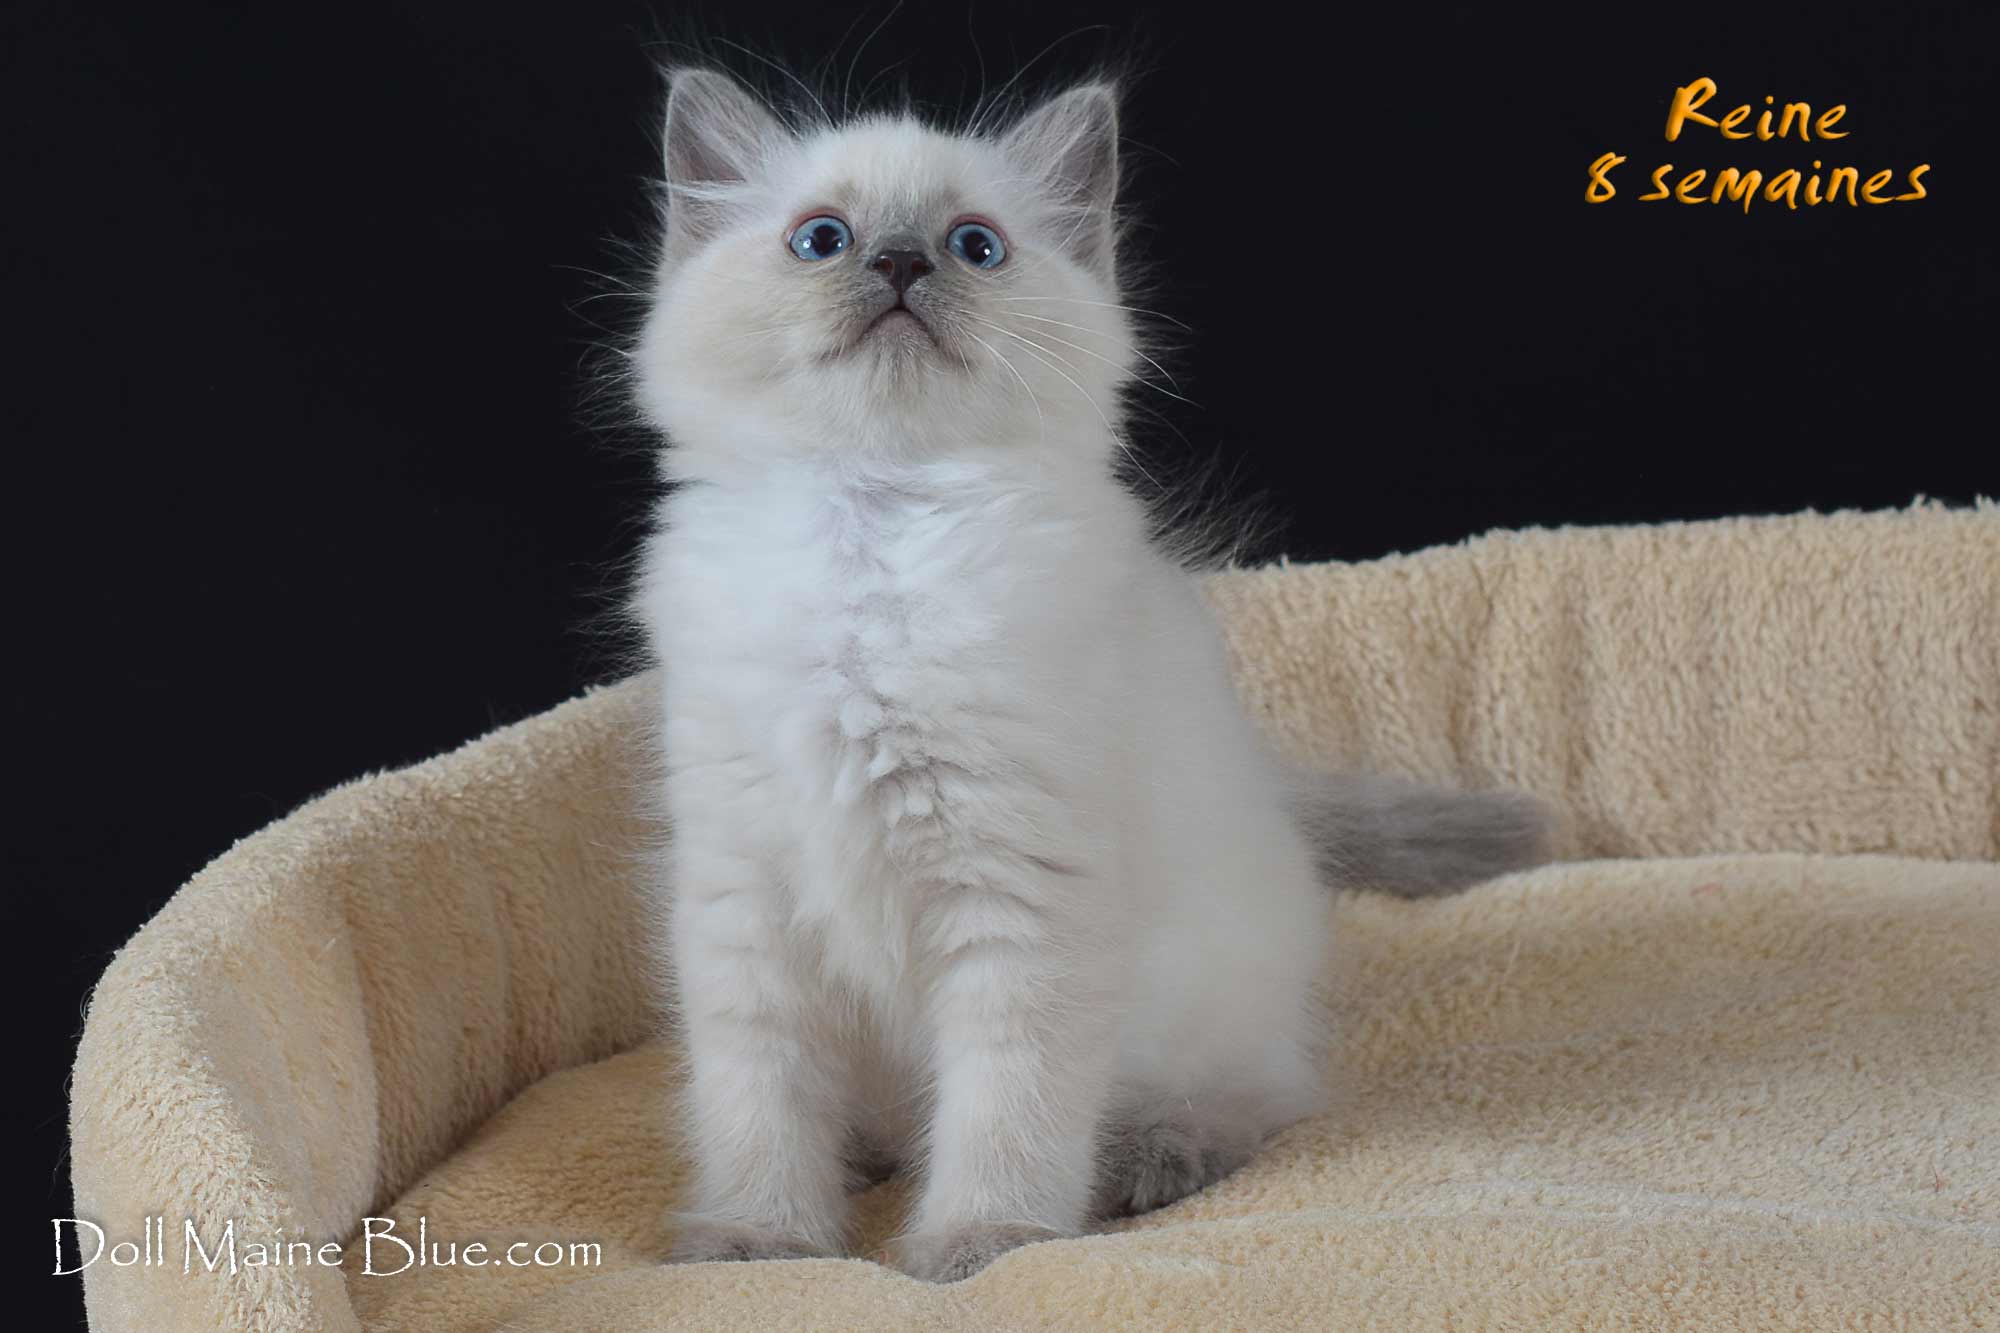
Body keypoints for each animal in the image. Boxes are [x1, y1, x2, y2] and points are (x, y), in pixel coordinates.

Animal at [627, 66, 1550, 1284]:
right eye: (821, 238)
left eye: (974, 247)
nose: (900, 263)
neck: (875, 533)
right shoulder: (743, 896)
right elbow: (757, 1102)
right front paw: (758, 1242)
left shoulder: (1021, 892)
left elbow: (1004, 1104)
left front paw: (978, 1244)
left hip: (1212, 1000)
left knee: (1258, 1098)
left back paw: (1151, 1160)